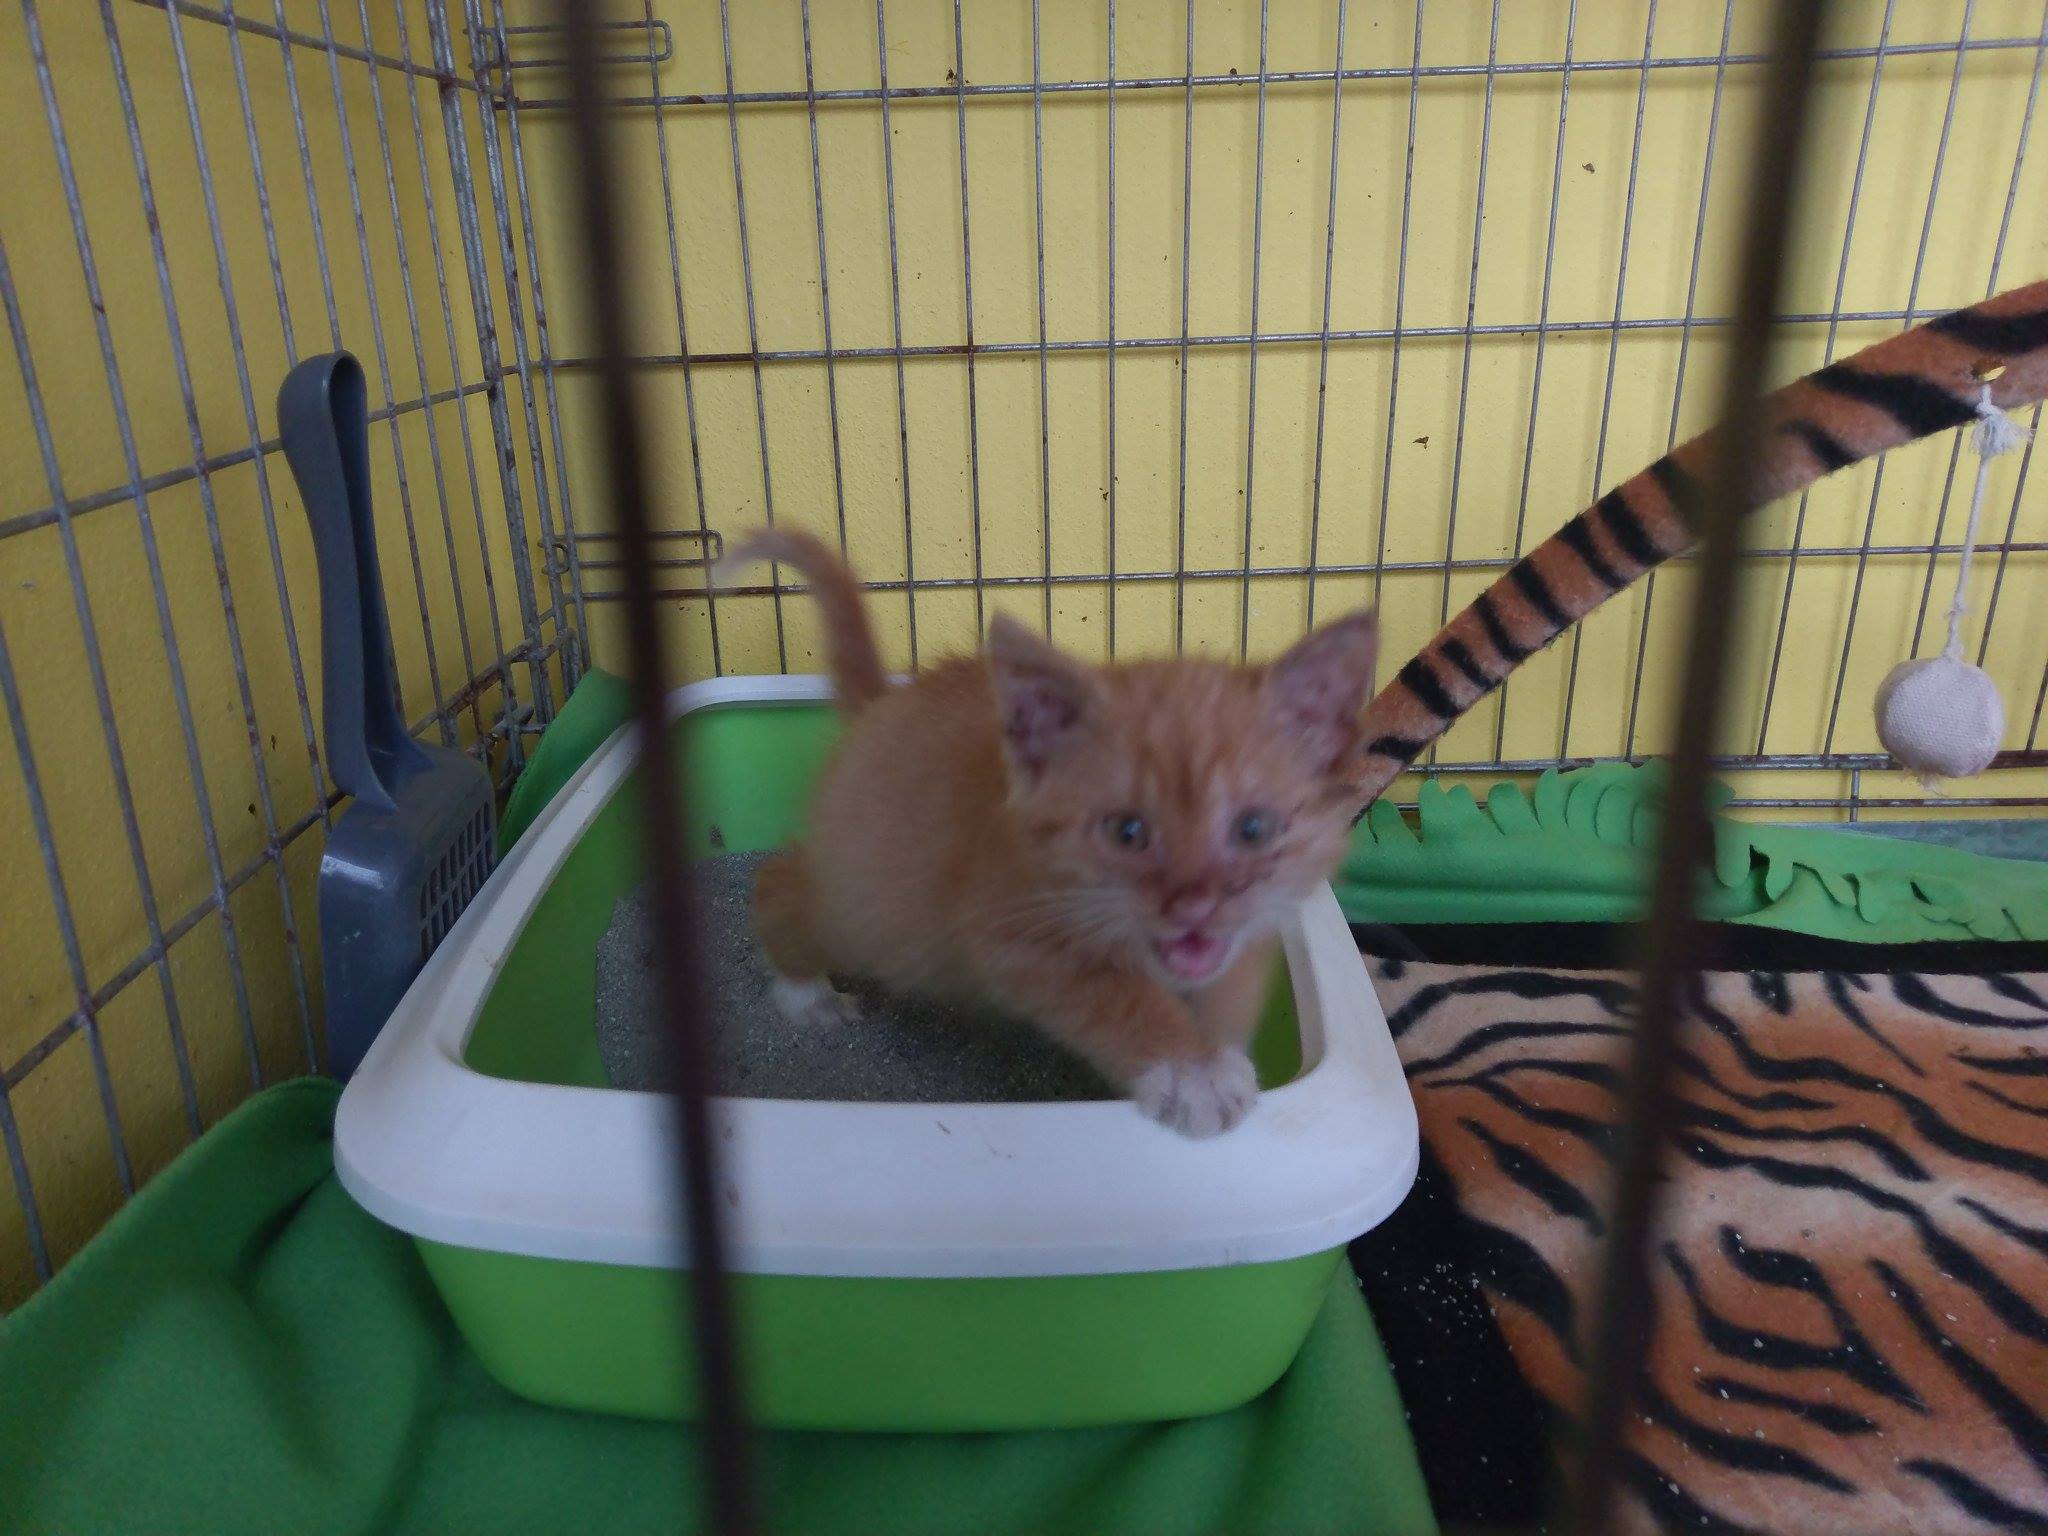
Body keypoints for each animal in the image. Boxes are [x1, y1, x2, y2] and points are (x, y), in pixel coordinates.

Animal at [721, 529, 1377, 1137]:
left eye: (1253, 828)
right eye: (1127, 831)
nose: (1195, 906)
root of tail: (881, 705)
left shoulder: (1257, 923)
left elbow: (1230, 985)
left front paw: (1216, 1047)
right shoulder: (1006, 924)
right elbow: (1110, 994)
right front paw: (1189, 1069)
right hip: (875, 912)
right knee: (787, 882)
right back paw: (805, 990)